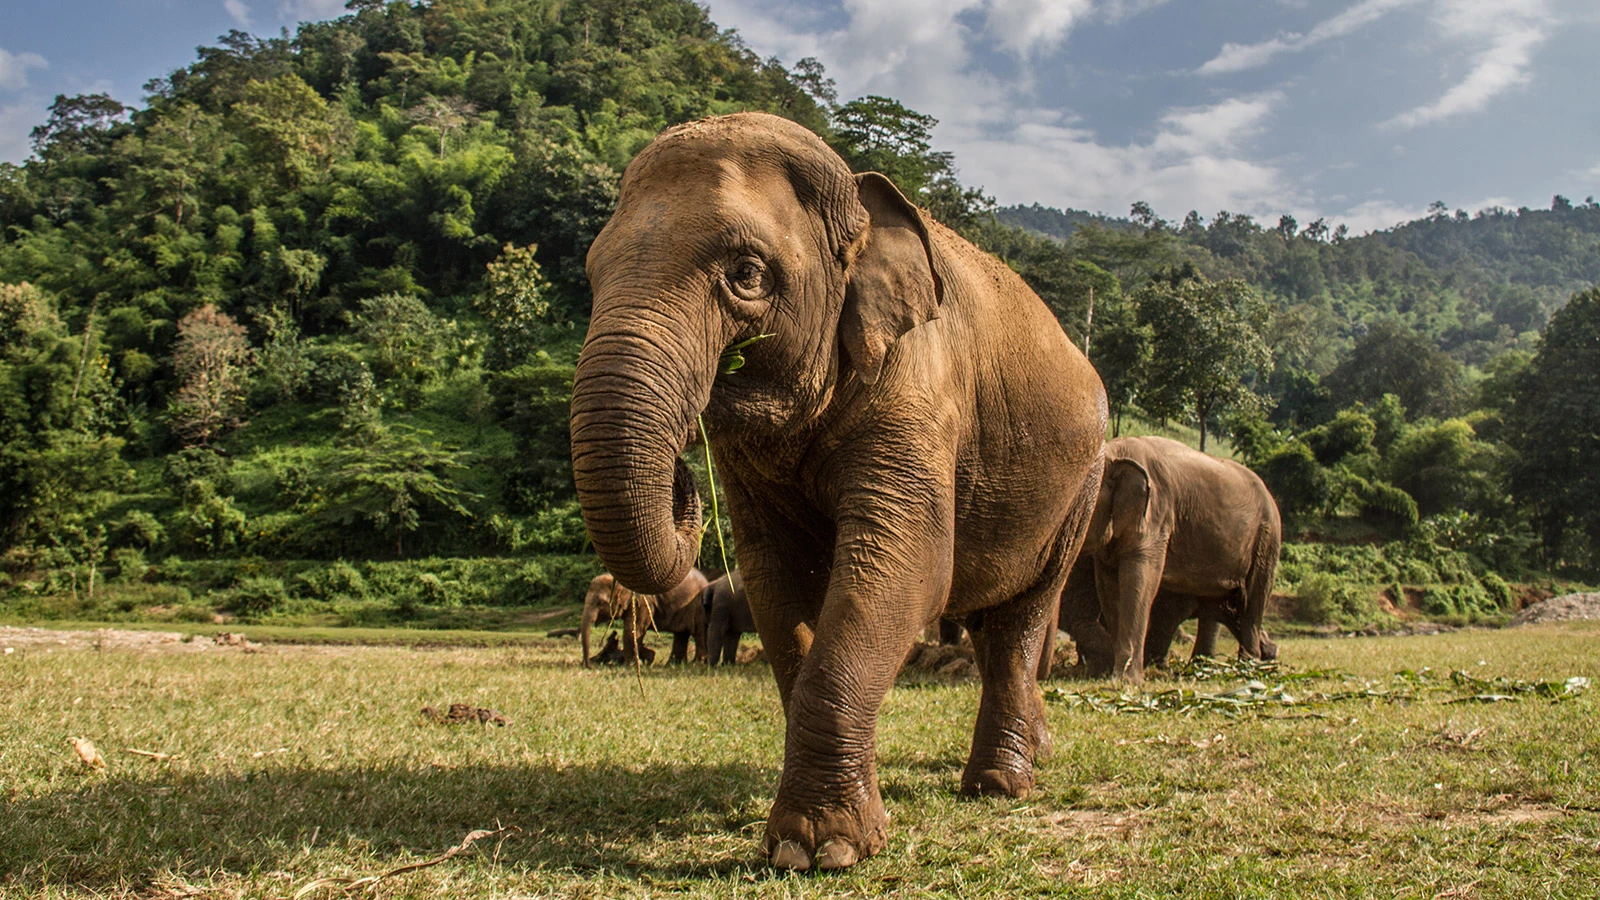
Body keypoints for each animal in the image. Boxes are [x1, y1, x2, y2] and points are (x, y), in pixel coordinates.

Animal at [572, 566, 704, 666]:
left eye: (600, 603)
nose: (588, 665)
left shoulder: (643, 602)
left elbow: (632, 630)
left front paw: (632, 664)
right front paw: (648, 656)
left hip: (697, 607)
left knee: (699, 634)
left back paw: (697, 664)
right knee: (681, 634)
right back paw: (674, 664)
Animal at [1062, 435, 1286, 679]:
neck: (1117, 451)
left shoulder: (1156, 515)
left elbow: (1140, 580)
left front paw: (1125, 679)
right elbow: (1109, 587)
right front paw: (1114, 672)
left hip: (1266, 538)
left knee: (1253, 600)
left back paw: (1249, 667)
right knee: (1215, 601)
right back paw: (1206, 666)